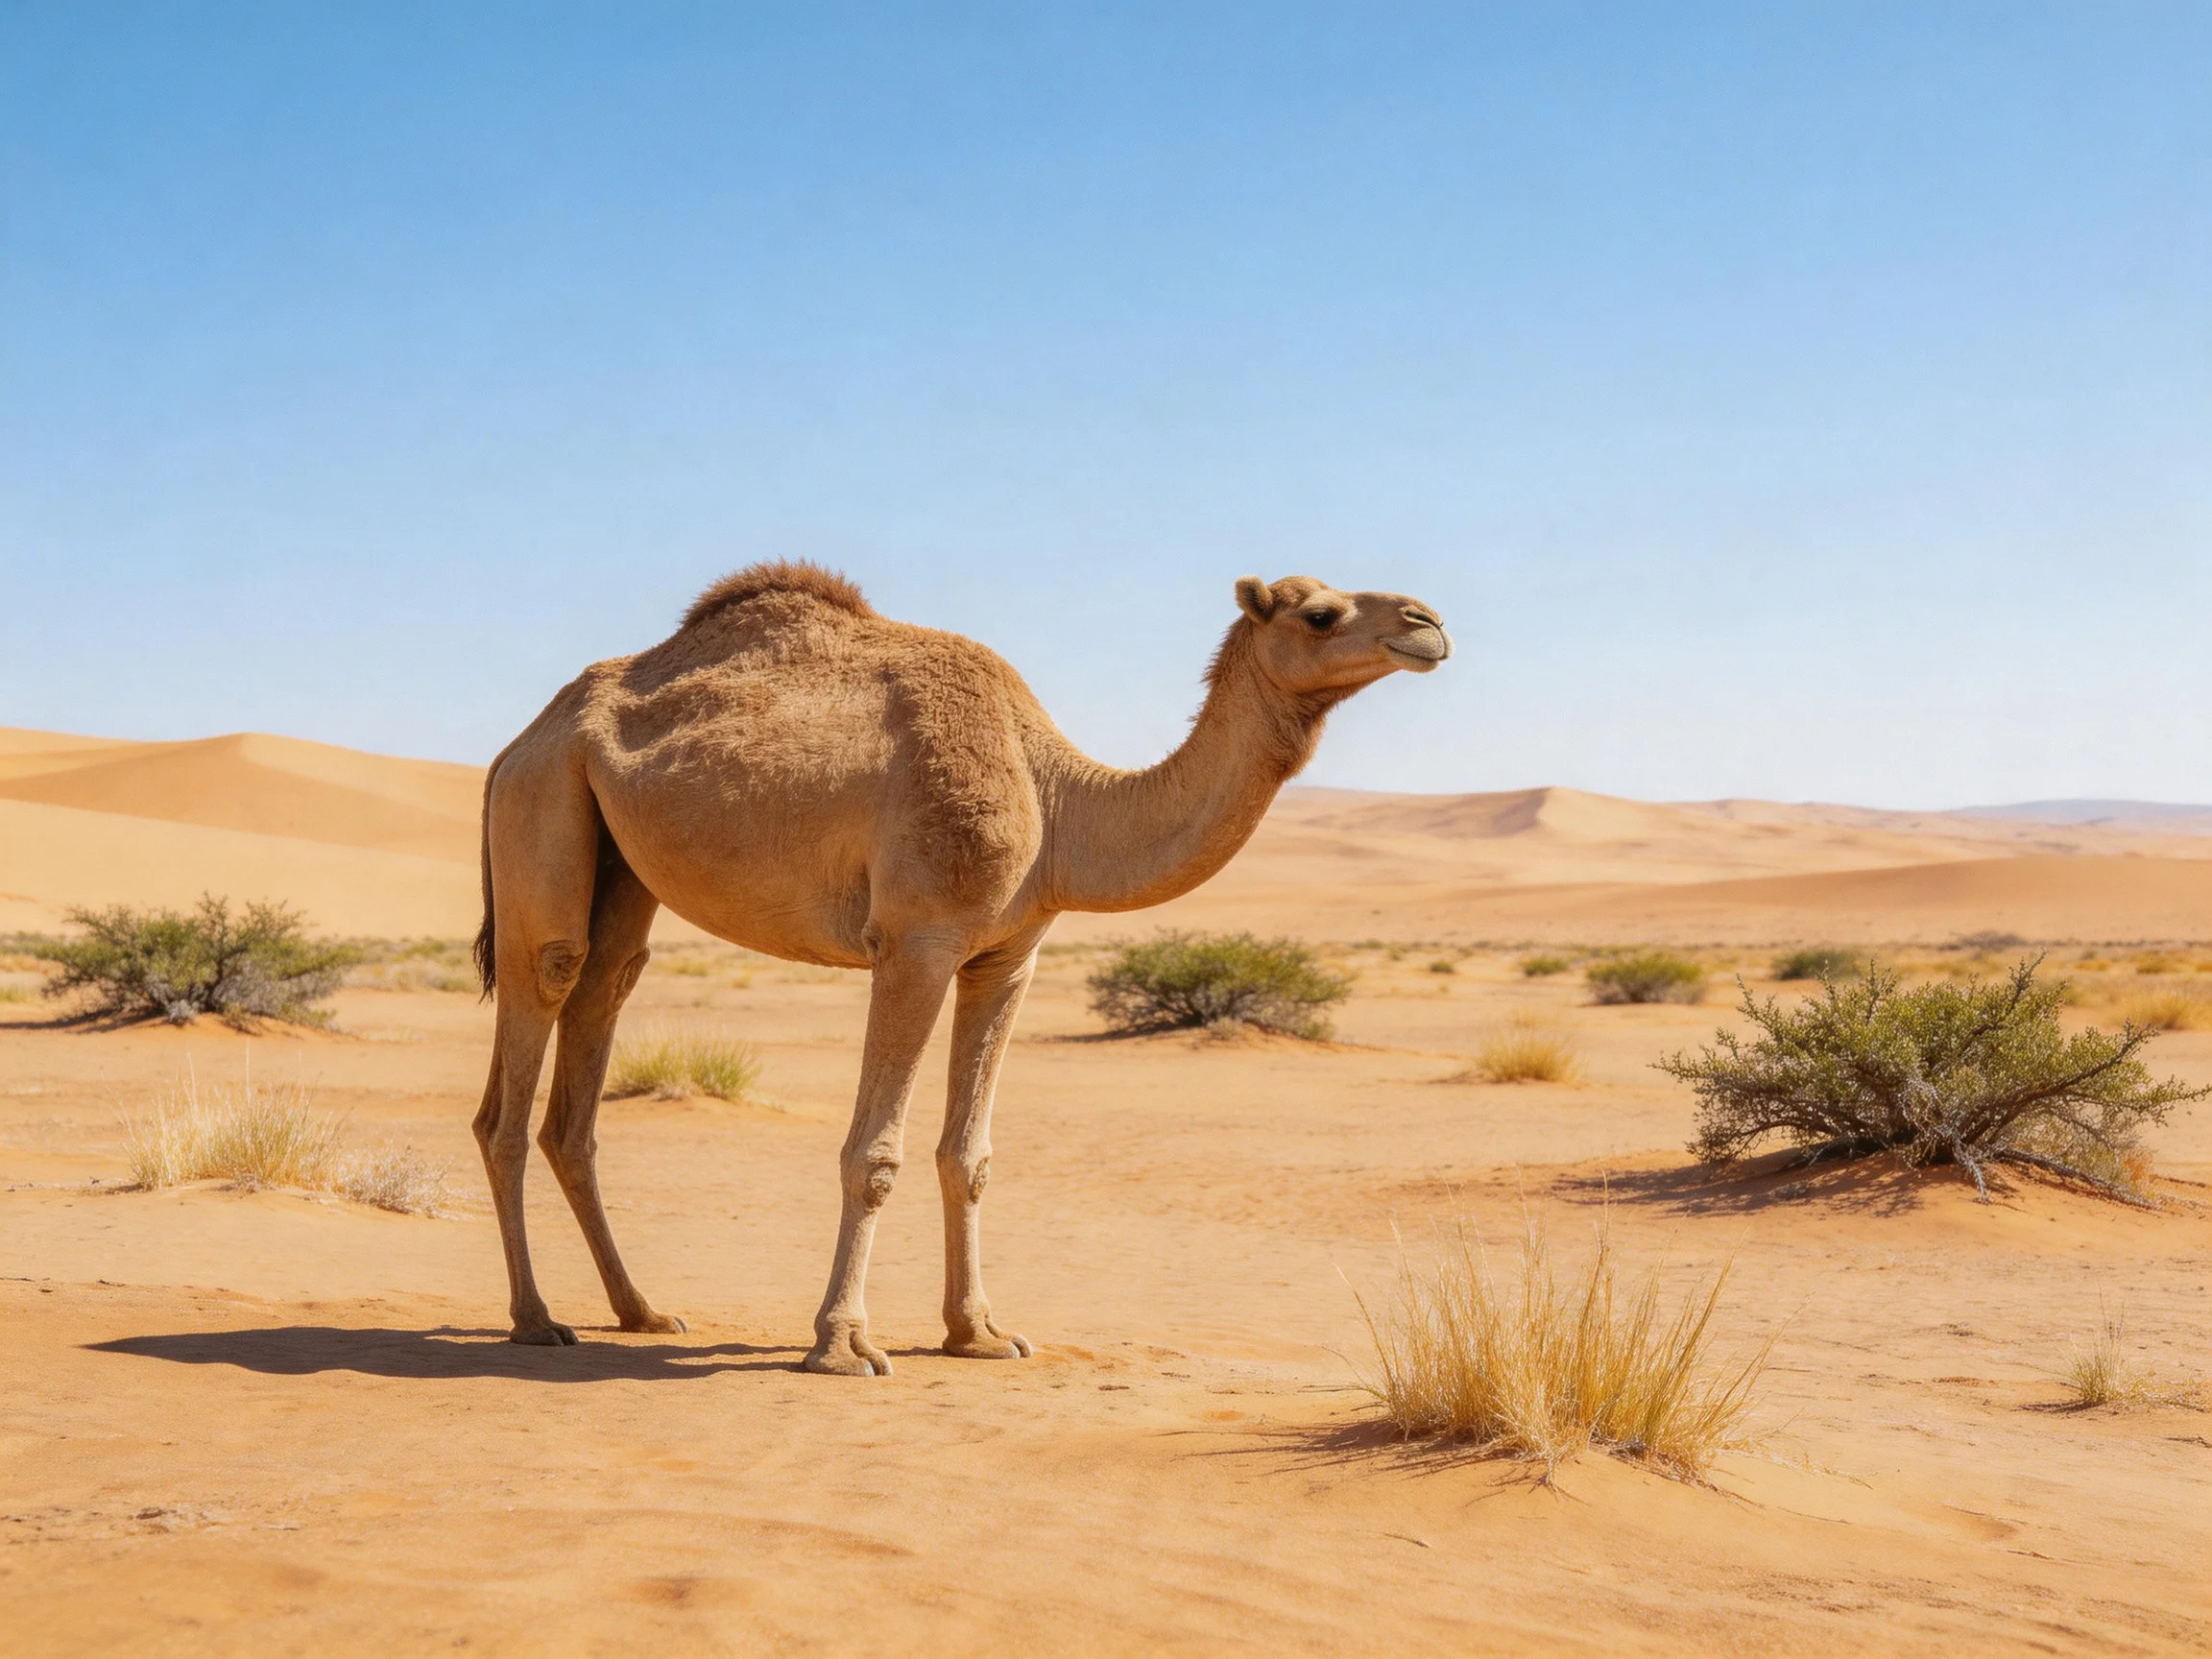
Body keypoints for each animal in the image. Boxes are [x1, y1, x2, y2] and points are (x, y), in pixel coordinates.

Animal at [471, 563, 1450, 1374]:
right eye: (1321, 614)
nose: (1430, 622)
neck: (1059, 804)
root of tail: (519, 739)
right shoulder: (918, 939)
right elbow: (874, 1152)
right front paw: (842, 1344)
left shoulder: (1007, 957)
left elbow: (968, 1155)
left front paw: (978, 1332)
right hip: (543, 798)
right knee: (533, 1026)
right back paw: (535, 1318)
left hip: (619, 863)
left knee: (597, 1021)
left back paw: (641, 1311)